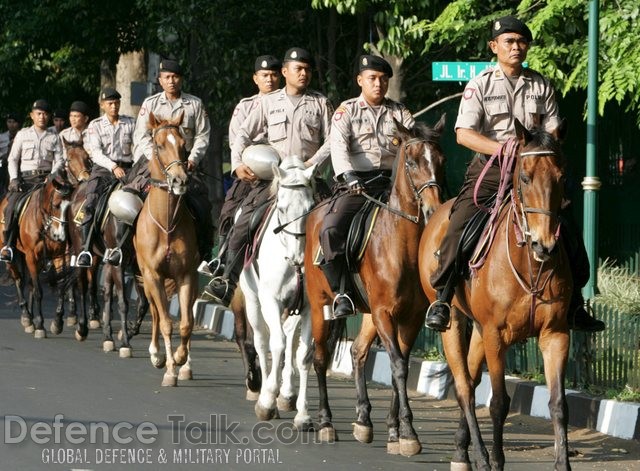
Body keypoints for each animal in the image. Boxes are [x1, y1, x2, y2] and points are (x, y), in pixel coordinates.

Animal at [0, 170, 74, 340]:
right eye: (56, 205)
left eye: (70, 207)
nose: (60, 236)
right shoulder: (31, 257)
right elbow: (39, 291)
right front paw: (40, 325)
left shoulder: (58, 256)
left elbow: (61, 287)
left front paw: (57, 322)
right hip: (11, 256)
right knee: (19, 280)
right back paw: (27, 317)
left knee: (30, 284)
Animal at [240, 156, 318, 432]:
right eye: (282, 209)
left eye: (311, 207)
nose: (298, 256)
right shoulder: (271, 301)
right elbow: (277, 344)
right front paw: (267, 401)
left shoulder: (310, 308)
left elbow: (304, 355)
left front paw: (303, 414)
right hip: (254, 303)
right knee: (263, 342)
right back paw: (266, 394)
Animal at [304, 118, 444, 458]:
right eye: (412, 162)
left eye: (441, 160)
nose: (433, 210)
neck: (401, 244)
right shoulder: (384, 313)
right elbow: (398, 366)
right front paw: (408, 433)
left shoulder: (410, 318)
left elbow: (399, 366)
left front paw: (396, 432)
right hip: (319, 304)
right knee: (319, 357)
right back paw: (326, 422)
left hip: (367, 313)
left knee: (357, 352)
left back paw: (363, 420)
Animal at [418, 122, 572, 471]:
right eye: (525, 177)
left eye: (561, 176)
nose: (545, 245)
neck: (529, 264)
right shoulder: (495, 335)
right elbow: (499, 402)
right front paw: (497, 461)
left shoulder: (556, 334)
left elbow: (558, 403)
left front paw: (563, 463)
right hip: (455, 322)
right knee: (464, 387)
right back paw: (479, 455)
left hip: (477, 329)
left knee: (472, 380)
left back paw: (462, 451)